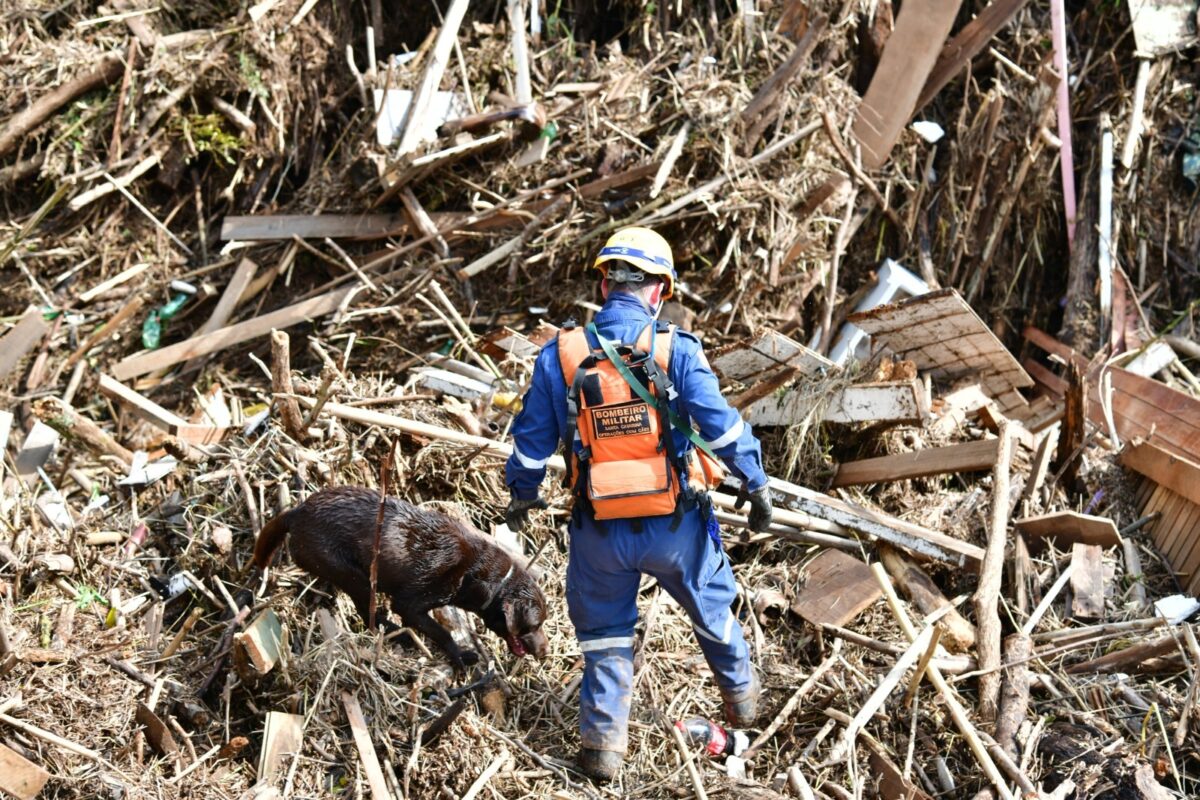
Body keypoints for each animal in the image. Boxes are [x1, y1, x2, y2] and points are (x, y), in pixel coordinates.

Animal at [258, 484, 552, 666]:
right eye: (534, 625)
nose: (545, 652)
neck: (479, 575)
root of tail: (296, 512)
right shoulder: (410, 604)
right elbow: (442, 633)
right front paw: (459, 656)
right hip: (355, 576)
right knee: (367, 614)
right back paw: (398, 634)